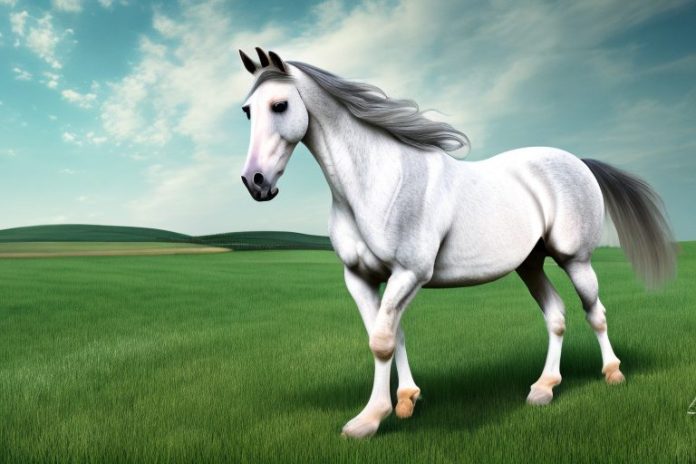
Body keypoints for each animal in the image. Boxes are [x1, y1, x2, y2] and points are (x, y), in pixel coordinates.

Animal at [237, 47, 675, 438]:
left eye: (280, 105)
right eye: (247, 110)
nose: (255, 182)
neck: (377, 180)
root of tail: (579, 162)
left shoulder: (409, 274)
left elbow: (382, 341)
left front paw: (368, 421)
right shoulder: (360, 278)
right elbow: (391, 335)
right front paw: (406, 400)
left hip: (575, 260)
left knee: (595, 312)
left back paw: (613, 374)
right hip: (530, 264)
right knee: (556, 315)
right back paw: (543, 389)